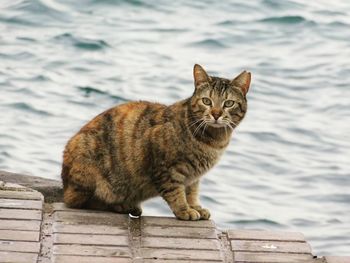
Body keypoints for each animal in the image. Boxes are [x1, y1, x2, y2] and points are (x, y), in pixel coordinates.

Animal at [61, 64, 250, 221]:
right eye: (206, 101)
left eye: (228, 103)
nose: (216, 114)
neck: (214, 140)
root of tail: (65, 184)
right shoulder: (165, 168)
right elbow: (175, 192)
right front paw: (184, 210)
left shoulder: (193, 176)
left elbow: (192, 192)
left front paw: (195, 206)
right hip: (88, 168)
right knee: (82, 201)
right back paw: (122, 205)